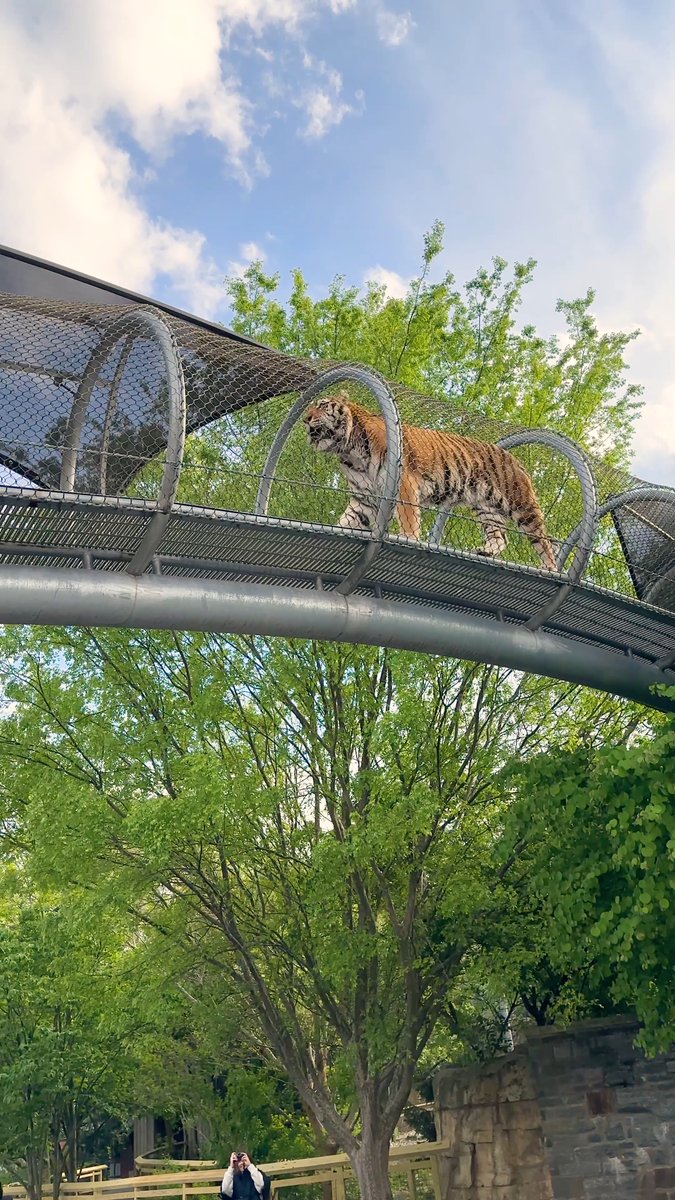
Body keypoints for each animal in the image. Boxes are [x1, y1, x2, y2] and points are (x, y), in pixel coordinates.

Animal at [304, 392, 558, 571]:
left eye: (322, 405)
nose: (306, 419)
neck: (348, 450)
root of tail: (516, 460)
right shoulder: (365, 498)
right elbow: (347, 520)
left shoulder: (404, 483)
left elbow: (408, 517)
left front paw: (409, 539)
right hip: (487, 509)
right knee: (500, 537)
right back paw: (484, 552)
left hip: (522, 505)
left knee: (544, 541)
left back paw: (549, 567)